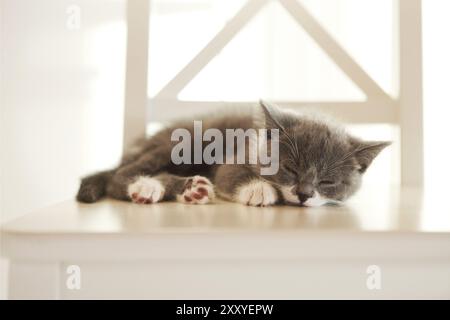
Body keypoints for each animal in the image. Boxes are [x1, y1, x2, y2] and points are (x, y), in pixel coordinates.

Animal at [76, 100, 390, 208]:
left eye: (327, 181)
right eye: (290, 169)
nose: (304, 194)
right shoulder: (235, 155)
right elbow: (230, 173)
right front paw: (259, 189)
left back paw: (192, 190)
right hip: (188, 140)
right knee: (118, 176)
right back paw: (146, 186)